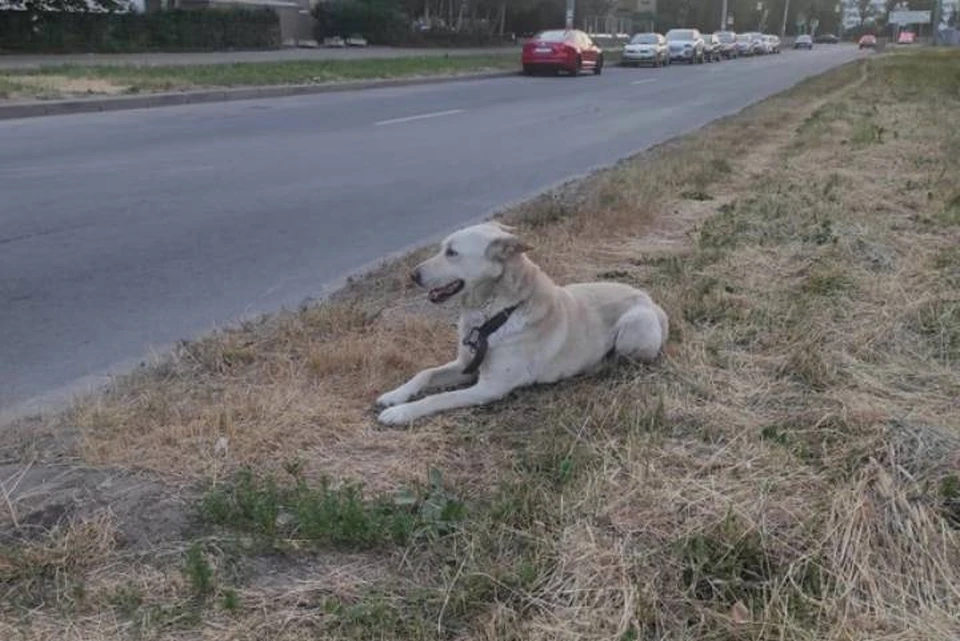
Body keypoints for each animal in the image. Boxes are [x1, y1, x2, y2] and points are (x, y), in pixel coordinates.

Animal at [376, 221, 668, 424]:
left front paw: (402, 412)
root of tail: (651, 301)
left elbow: (440, 396)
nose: (412, 275)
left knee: (627, 359)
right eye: (442, 249)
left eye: (452, 253)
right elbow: (425, 374)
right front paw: (394, 396)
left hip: (634, 325)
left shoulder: (489, 387)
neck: (496, 314)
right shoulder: (466, 366)